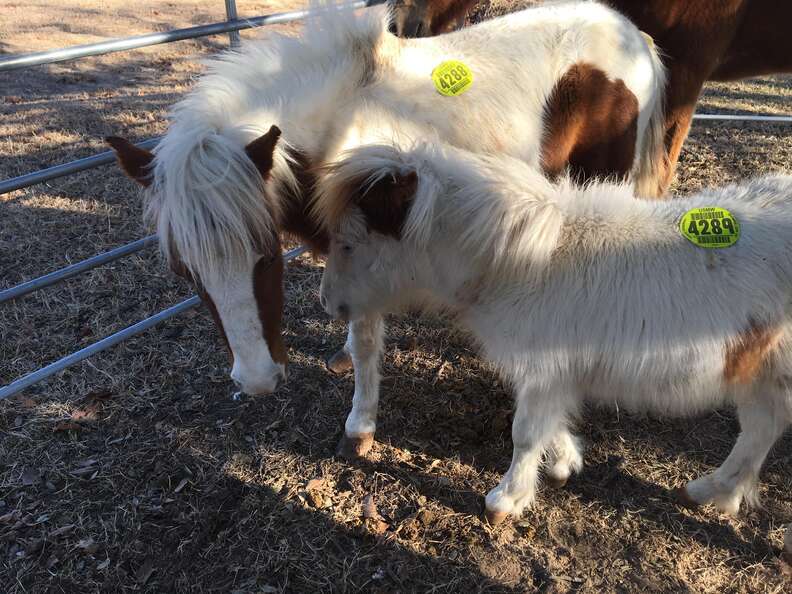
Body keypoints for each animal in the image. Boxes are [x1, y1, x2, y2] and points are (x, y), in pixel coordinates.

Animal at [105, 4, 664, 420]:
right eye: (185, 272)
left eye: (267, 257)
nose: (257, 380)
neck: (337, 129)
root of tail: (630, 33)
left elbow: (366, 342)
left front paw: (360, 427)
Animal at [316, 142, 792, 532]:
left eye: (348, 245)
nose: (327, 304)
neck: (526, 264)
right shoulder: (551, 375)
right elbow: (550, 423)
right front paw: (564, 464)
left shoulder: (546, 371)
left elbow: (526, 434)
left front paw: (504, 501)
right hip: (761, 373)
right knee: (760, 429)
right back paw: (710, 493)